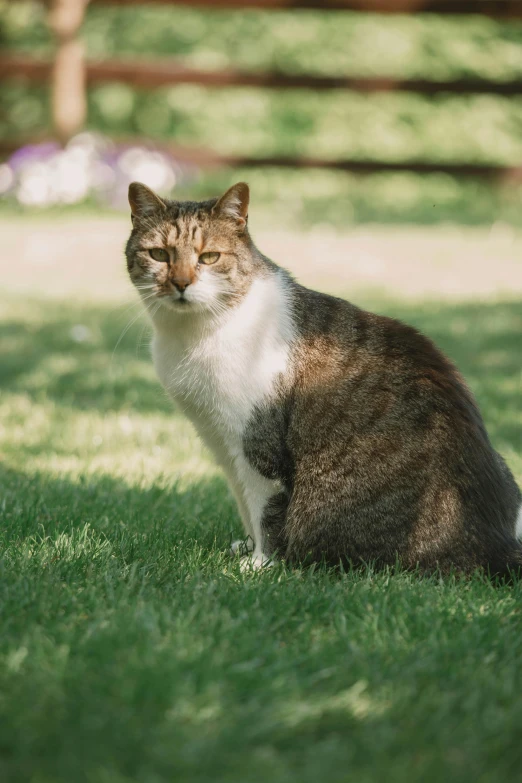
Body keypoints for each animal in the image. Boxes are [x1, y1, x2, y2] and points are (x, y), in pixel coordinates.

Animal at [125, 182, 520, 576]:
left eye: (208, 257)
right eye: (159, 255)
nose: (180, 282)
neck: (191, 335)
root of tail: (495, 548)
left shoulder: (257, 446)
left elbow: (264, 513)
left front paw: (259, 564)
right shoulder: (220, 441)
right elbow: (242, 502)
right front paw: (246, 549)